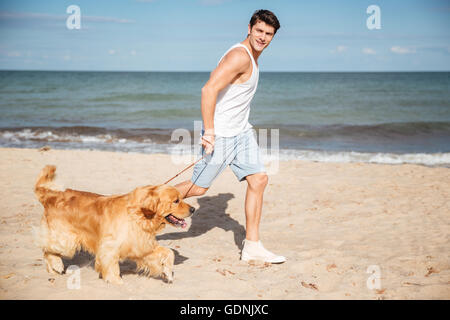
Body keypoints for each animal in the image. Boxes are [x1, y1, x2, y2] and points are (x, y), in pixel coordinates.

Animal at [31, 164, 193, 284]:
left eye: (181, 198)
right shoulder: (110, 246)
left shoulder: (142, 246)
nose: (193, 209)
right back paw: (56, 265)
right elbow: (111, 266)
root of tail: (51, 196)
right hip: (66, 240)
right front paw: (116, 281)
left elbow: (168, 252)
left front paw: (168, 272)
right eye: (176, 201)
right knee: (47, 249)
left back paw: (53, 269)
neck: (137, 215)